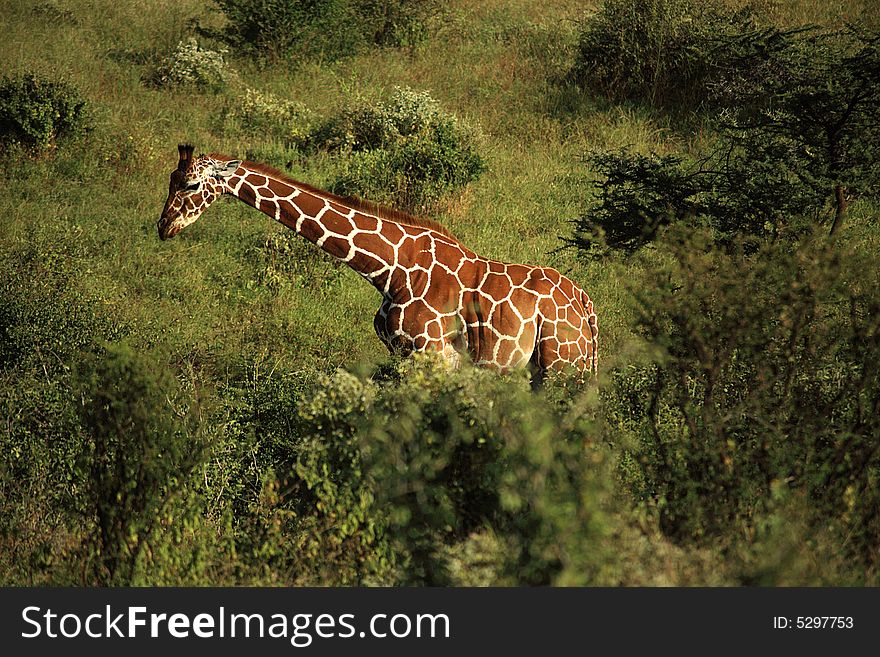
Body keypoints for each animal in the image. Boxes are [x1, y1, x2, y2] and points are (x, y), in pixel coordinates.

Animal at [158, 145, 600, 376]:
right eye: (170, 180)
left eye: (193, 184)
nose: (164, 226)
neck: (390, 270)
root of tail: (586, 305)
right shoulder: (403, 354)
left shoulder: (434, 354)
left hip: (562, 365)